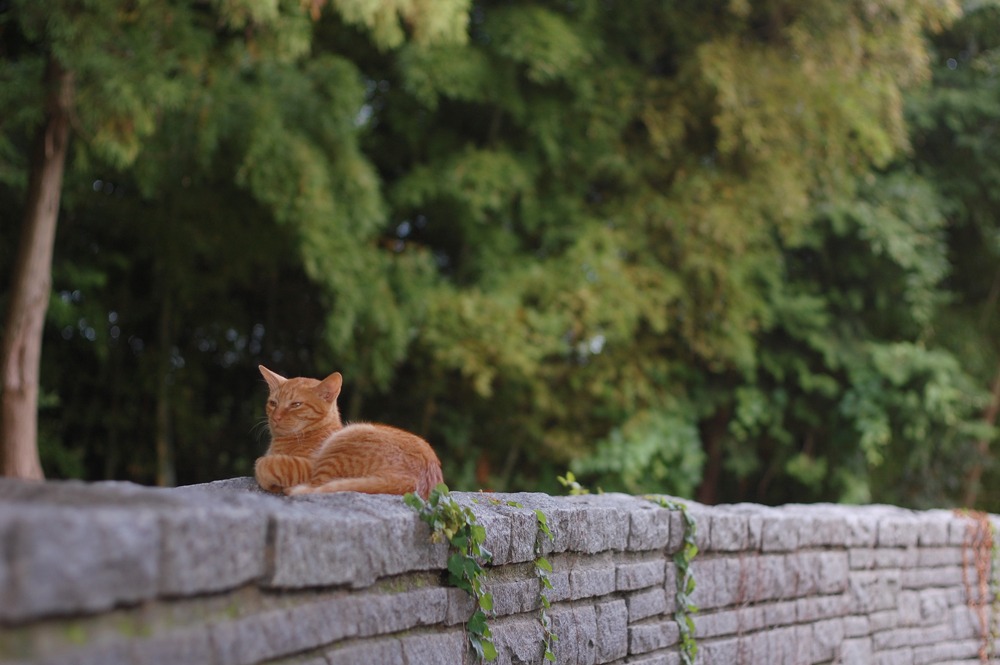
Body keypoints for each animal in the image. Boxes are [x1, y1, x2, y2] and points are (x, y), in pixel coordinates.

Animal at [256, 364, 444, 498]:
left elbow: (265, 464)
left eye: (296, 404)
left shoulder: (310, 464)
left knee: (317, 485)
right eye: (273, 403)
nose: (276, 417)